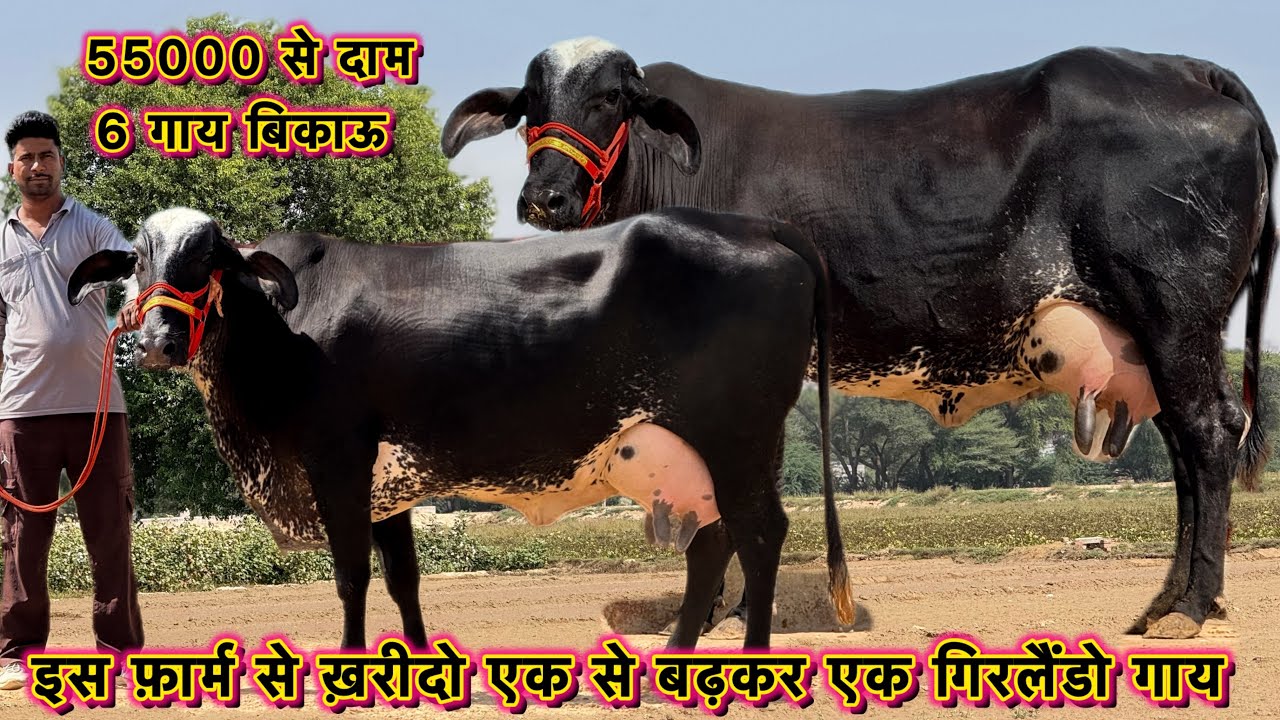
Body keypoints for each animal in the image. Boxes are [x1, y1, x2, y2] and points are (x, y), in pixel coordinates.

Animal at [66, 205, 855, 651]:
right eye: (137, 260)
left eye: (211, 260)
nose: (158, 340)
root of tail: (754, 224)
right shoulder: (388, 482)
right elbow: (403, 578)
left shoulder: (338, 459)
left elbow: (352, 574)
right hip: (689, 454)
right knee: (713, 541)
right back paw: (677, 655)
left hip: (738, 437)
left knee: (760, 534)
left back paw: (751, 662)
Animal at [443, 38, 1277, 640]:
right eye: (529, 105)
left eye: (612, 97)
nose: (545, 196)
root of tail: (1182, 67)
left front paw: (726, 614)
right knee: (1182, 447)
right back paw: (1167, 600)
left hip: (1174, 311)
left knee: (1209, 432)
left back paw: (1190, 608)